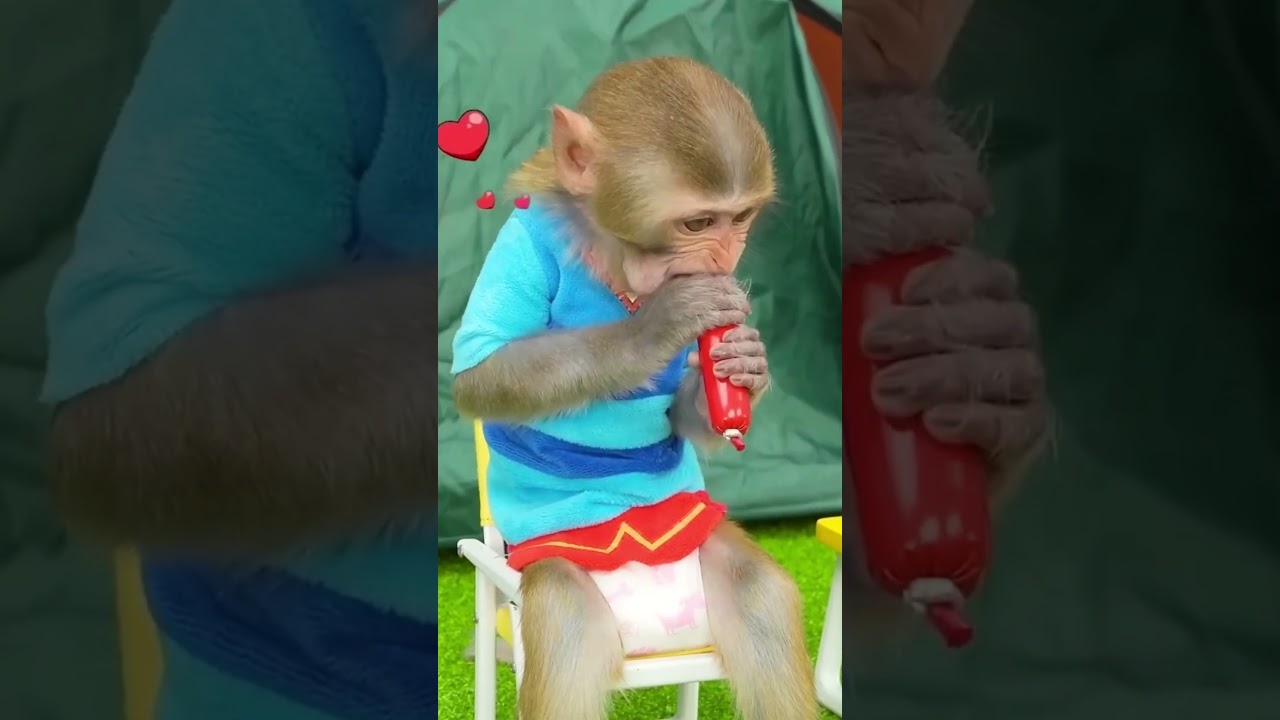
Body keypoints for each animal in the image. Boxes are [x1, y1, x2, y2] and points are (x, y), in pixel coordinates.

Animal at [450, 57, 819, 720]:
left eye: (740, 219)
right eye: (698, 222)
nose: (723, 258)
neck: (616, 259)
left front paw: (746, 363)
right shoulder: (525, 244)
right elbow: (481, 375)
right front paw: (662, 324)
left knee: (760, 601)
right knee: (566, 623)